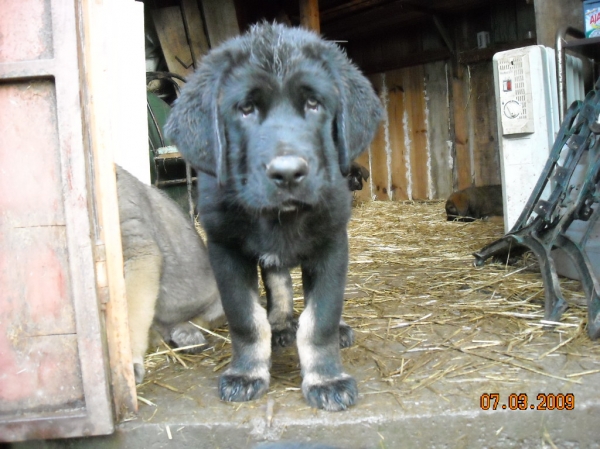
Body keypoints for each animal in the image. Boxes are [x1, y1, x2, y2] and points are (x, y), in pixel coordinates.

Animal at [165, 23, 380, 410]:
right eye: (246, 109)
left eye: (314, 104)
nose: (288, 173)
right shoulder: (225, 248)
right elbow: (246, 320)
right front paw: (247, 373)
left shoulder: (331, 243)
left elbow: (321, 318)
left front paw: (326, 378)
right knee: (278, 283)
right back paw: (280, 325)